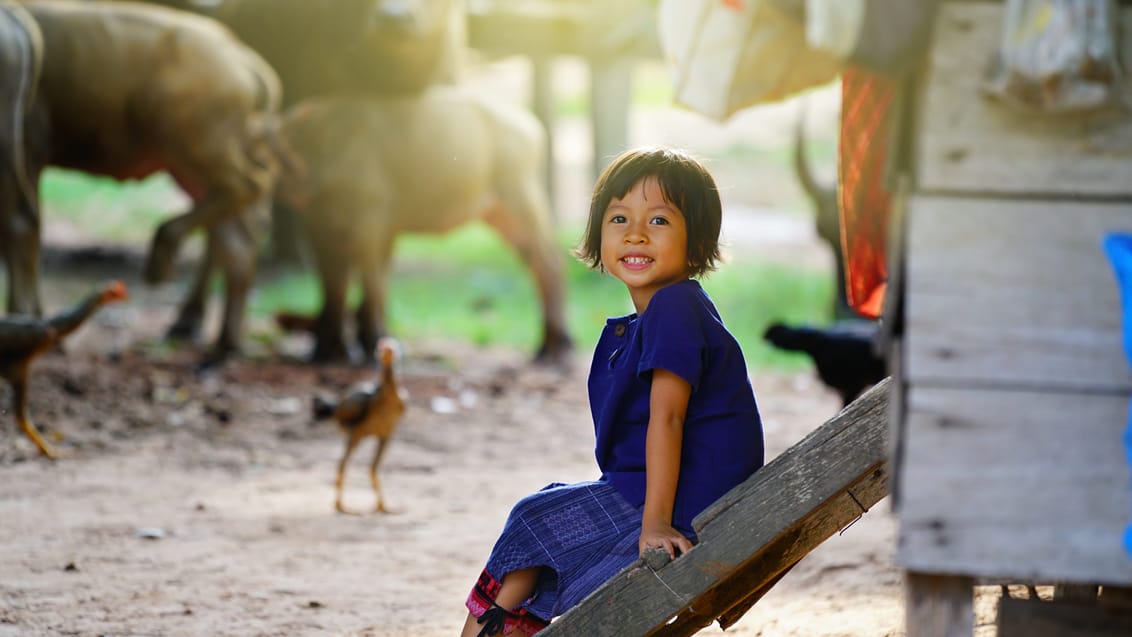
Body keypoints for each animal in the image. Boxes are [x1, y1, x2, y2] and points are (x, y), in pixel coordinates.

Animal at [11, 0, 289, 364]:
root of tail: (248, 64)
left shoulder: (29, 148)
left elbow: (22, 231)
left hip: (190, 144)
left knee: (245, 190)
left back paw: (163, 255)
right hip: (191, 164)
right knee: (235, 234)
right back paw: (221, 340)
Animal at [275, 85, 575, 364]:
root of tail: (531, 128)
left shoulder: (371, 223)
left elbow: (372, 282)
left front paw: (373, 342)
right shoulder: (318, 226)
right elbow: (334, 286)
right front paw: (326, 350)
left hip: (520, 202)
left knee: (548, 263)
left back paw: (555, 347)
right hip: (500, 214)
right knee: (540, 262)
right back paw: (550, 344)